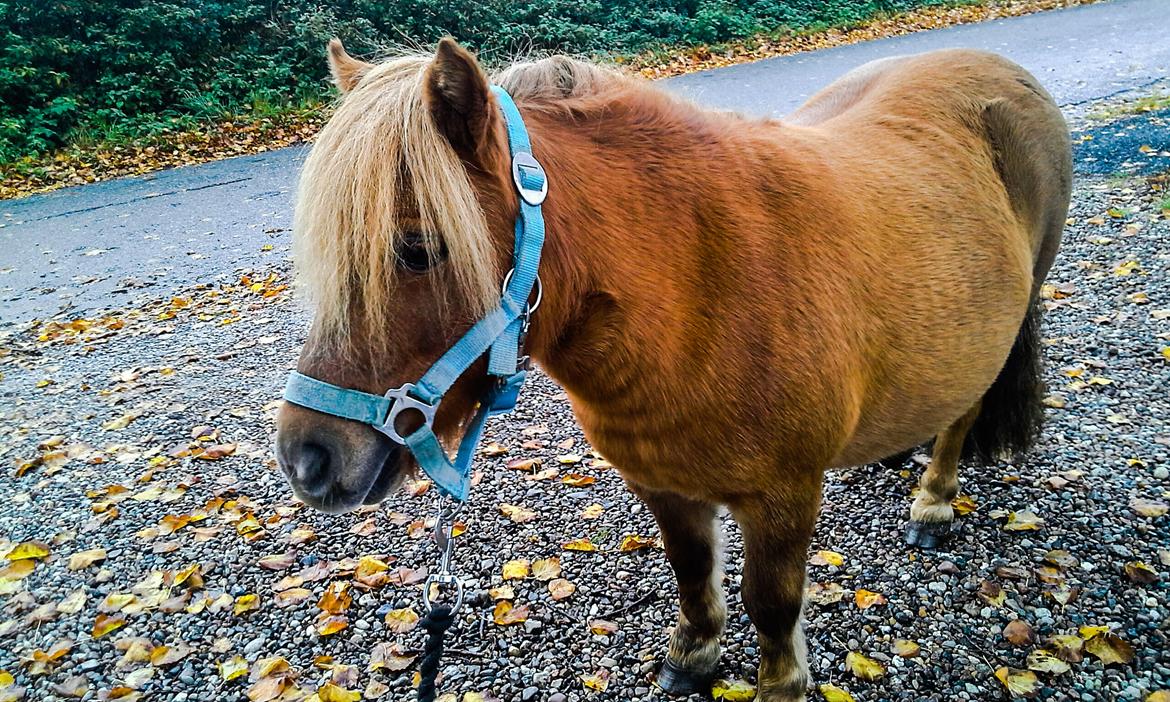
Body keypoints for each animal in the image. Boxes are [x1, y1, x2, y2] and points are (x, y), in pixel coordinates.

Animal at [273, 39, 1071, 702]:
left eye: (417, 249)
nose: (307, 459)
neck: (701, 285)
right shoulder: (664, 484)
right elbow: (691, 573)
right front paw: (694, 658)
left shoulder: (783, 497)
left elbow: (772, 605)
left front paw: (781, 685)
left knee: (963, 414)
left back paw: (933, 503)